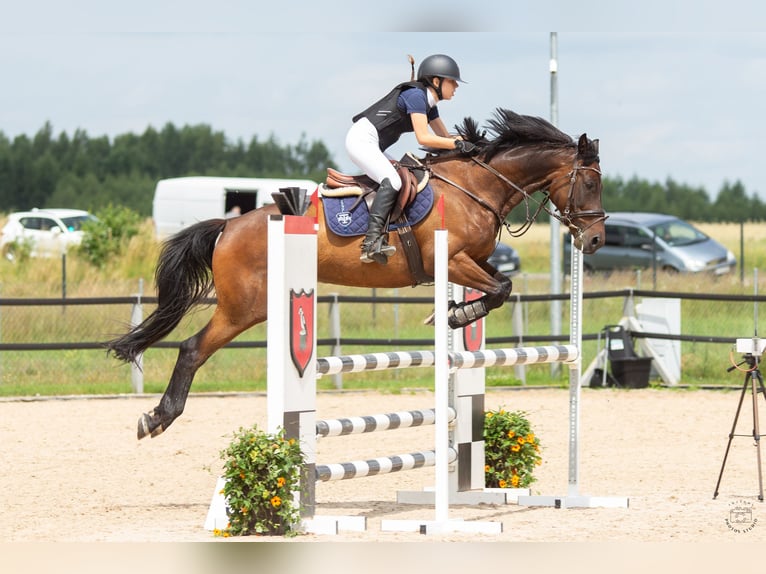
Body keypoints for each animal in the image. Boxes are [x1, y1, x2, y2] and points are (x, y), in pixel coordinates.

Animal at [108, 109, 608, 440]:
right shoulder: (451, 259)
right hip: (245, 307)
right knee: (193, 349)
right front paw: (452, 316)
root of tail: (229, 226)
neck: (476, 187)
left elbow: (501, 285)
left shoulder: (473, 261)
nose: (596, 240)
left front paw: (451, 313)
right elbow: (501, 288)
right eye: (589, 183)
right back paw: (158, 418)